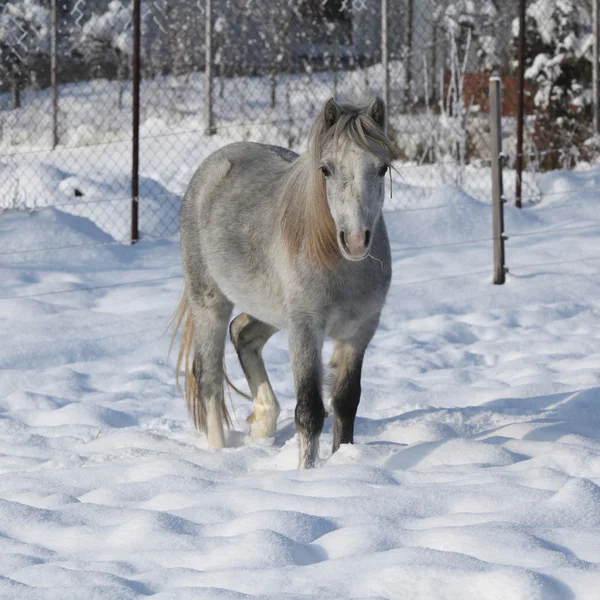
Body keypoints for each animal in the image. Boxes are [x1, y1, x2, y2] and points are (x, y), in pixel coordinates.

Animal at [172, 97, 394, 468]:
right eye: (326, 169)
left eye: (382, 168)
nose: (355, 240)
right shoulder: (305, 329)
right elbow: (310, 411)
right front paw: (307, 471)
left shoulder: (359, 332)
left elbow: (346, 403)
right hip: (209, 301)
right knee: (209, 379)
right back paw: (219, 455)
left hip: (271, 310)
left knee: (242, 332)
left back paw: (263, 421)